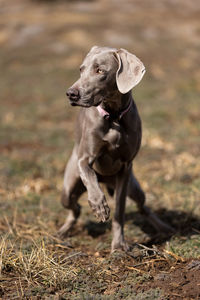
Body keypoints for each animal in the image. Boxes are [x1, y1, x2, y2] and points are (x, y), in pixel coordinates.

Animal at [58, 45, 173, 252]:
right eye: (81, 69)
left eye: (100, 70)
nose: (71, 93)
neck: (113, 116)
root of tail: (106, 181)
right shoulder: (84, 159)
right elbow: (90, 177)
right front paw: (99, 206)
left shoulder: (126, 168)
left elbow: (120, 209)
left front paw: (119, 245)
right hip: (68, 189)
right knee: (75, 209)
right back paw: (64, 230)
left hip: (135, 188)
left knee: (143, 207)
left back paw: (164, 228)